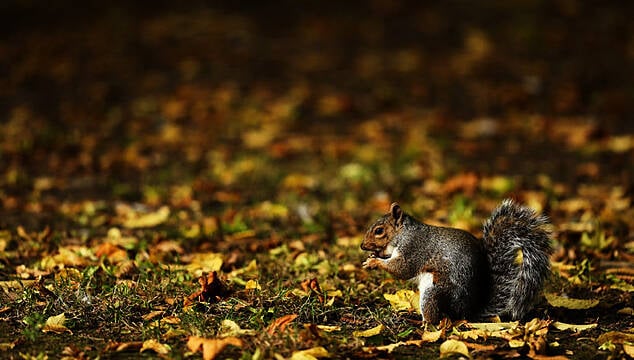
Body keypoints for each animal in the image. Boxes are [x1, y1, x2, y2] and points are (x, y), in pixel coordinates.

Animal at [362, 200, 552, 324]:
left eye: (379, 231)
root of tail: (466, 312)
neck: (403, 233)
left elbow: (402, 268)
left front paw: (375, 263)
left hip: (435, 292)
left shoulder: (413, 248)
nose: (362, 246)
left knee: (436, 319)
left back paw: (422, 324)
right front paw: (373, 257)